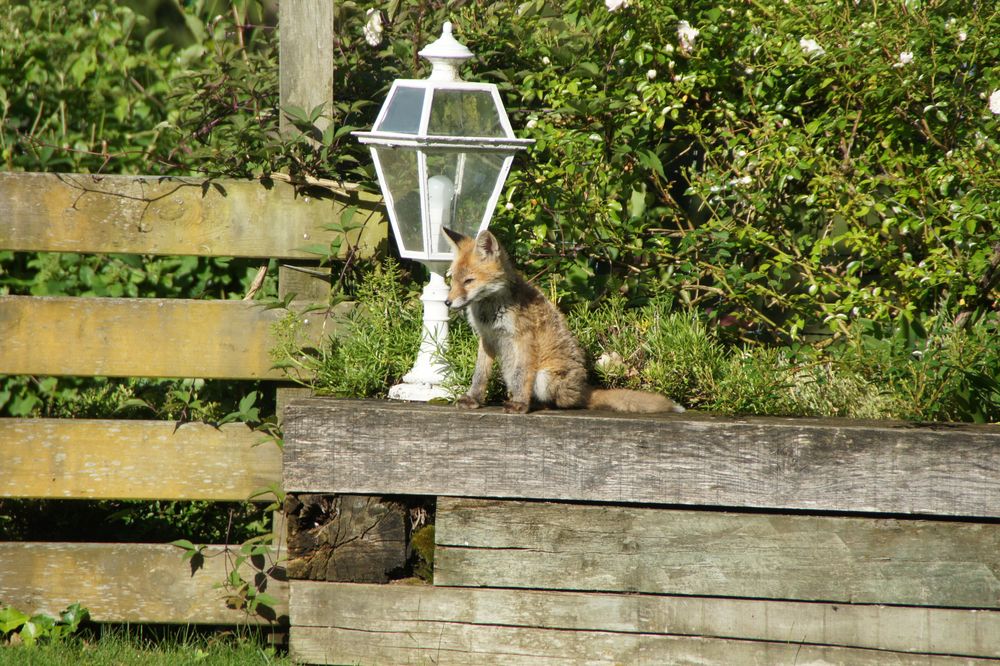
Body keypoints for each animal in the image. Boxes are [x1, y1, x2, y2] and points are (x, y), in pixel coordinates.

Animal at [442, 228, 684, 416]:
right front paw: (473, 399)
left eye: (469, 281)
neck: (490, 309)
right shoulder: (487, 338)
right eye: (452, 280)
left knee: (563, 402)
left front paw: (520, 404)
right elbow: (480, 375)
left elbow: (523, 376)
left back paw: (539, 405)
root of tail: (584, 389)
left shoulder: (524, 337)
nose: (447, 302)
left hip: (544, 378)